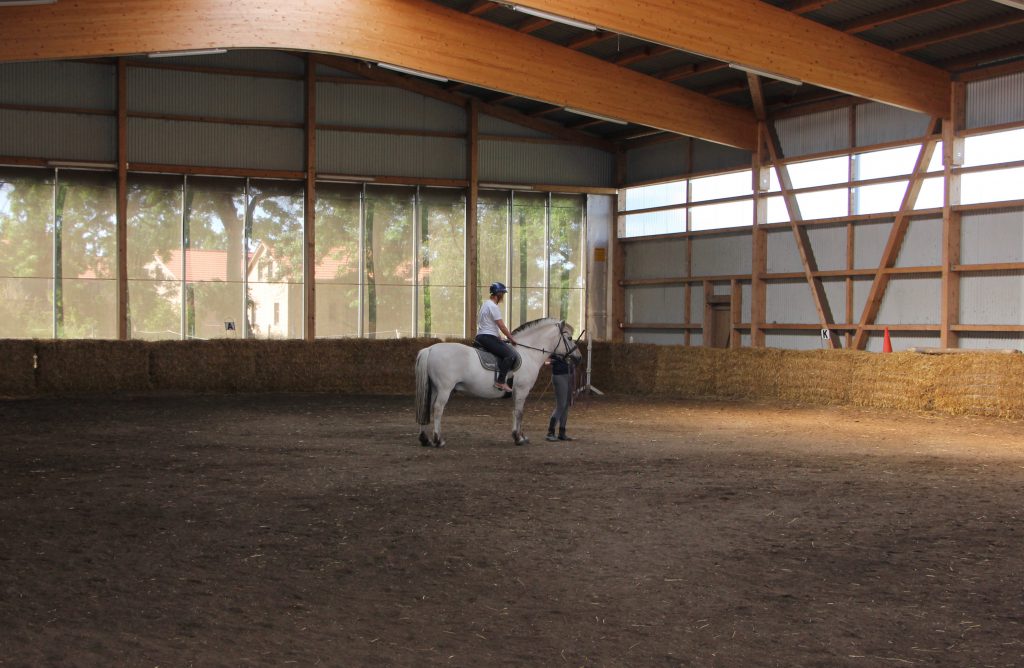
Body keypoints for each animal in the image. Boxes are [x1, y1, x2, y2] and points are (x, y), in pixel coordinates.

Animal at [411, 319, 581, 448]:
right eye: (570, 338)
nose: (578, 358)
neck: (528, 353)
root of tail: (430, 349)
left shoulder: (516, 392)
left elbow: (515, 412)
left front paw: (520, 436)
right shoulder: (522, 390)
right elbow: (520, 412)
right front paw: (518, 438)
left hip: (434, 388)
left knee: (426, 407)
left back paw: (425, 439)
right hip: (444, 389)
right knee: (438, 409)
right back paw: (438, 440)